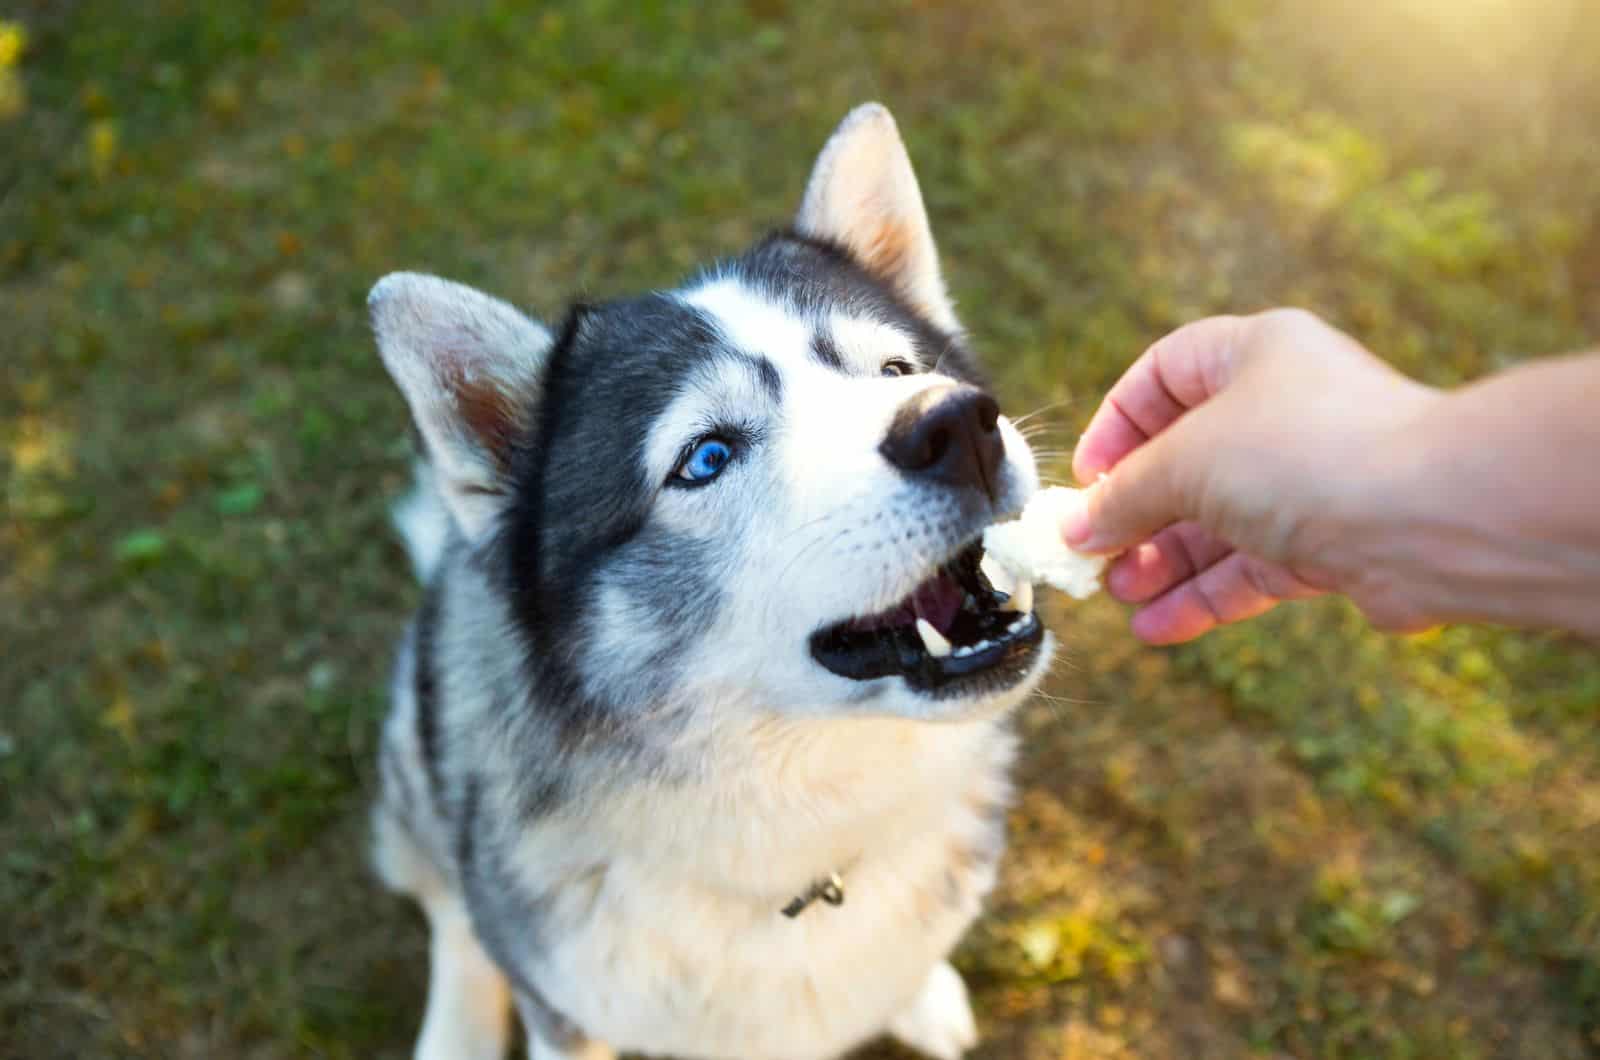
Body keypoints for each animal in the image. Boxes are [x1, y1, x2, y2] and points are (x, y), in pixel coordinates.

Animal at [371, 101, 1049, 1060]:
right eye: (707, 458)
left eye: (897, 371)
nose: (958, 424)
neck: (804, 846)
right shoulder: (567, 1007)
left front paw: (915, 993)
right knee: (449, 904)